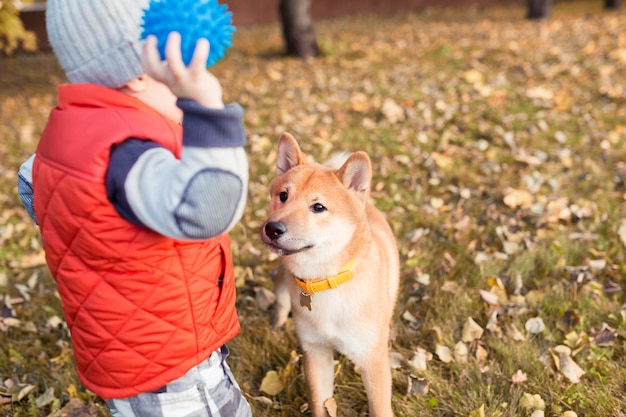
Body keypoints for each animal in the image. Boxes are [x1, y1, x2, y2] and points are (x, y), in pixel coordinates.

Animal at [260, 132, 398, 416]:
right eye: (283, 195)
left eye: (318, 207)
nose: (272, 228)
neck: (326, 281)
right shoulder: (316, 352)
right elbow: (320, 404)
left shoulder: (373, 361)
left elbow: (380, 408)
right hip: (281, 278)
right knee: (281, 302)